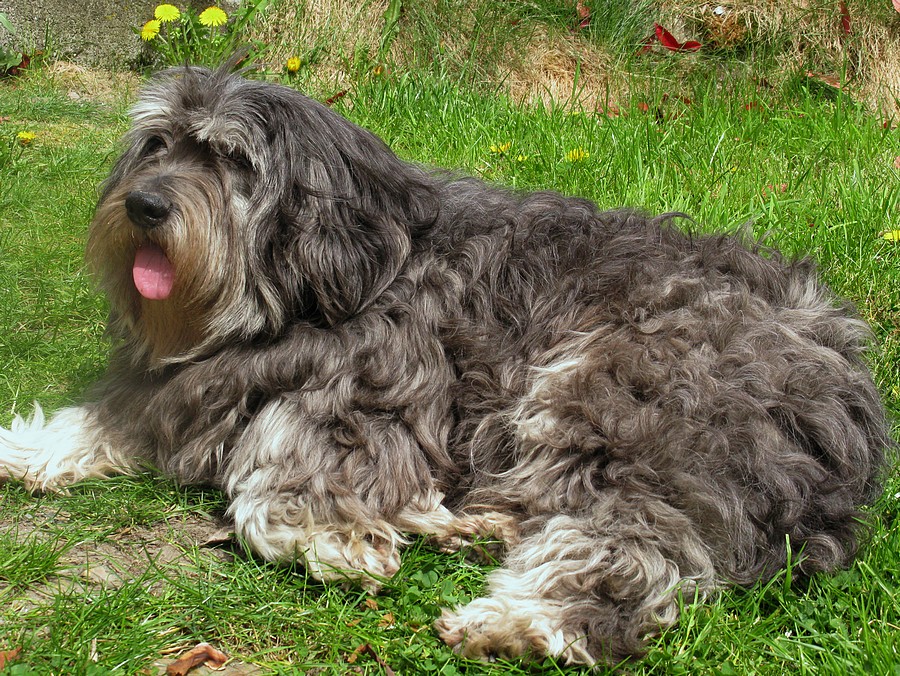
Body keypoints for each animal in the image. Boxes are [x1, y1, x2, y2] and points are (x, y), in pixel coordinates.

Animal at [0, 65, 889, 666]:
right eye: (155, 144)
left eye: (232, 162)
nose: (144, 204)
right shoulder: (176, 387)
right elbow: (108, 414)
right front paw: (30, 446)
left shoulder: (366, 399)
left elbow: (273, 493)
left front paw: (338, 537)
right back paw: (474, 528)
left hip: (619, 396)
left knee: (629, 540)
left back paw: (519, 621)